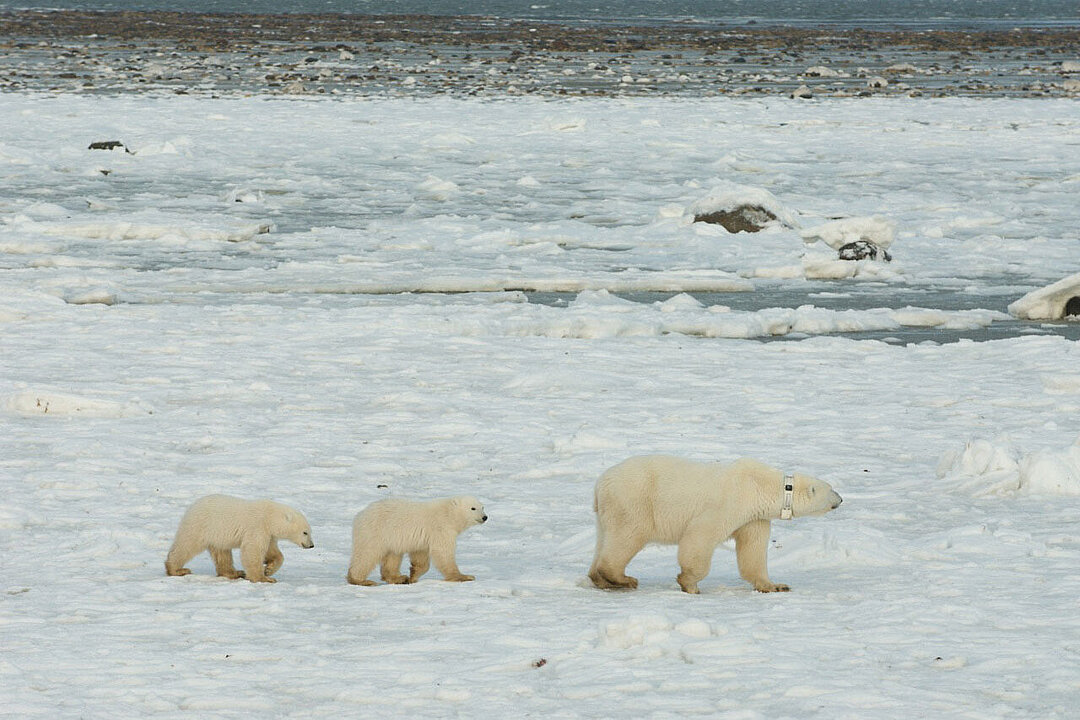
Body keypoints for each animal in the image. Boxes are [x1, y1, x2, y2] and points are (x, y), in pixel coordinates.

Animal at [164, 496, 315, 587]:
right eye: (305, 532)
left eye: (309, 531)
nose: (311, 545)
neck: (270, 517)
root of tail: (192, 506)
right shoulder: (257, 527)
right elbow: (252, 551)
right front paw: (264, 578)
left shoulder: (269, 534)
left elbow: (272, 552)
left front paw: (269, 569)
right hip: (201, 526)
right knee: (186, 545)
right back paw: (177, 569)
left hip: (218, 536)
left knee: (222, 554)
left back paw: (235, 573)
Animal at [347, 498, 488, 587]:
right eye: (473, 508)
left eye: (482, 507)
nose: (485, 517)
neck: (448, 514)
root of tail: (360, 515)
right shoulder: (440, 528)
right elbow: (443, 552)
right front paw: (464, 577)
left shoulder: (423, 539)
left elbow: (421, 556)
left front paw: (413, 575)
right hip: (375, 532)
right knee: (366, 555)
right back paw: (361, 580)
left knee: (392, 556)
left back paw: (399, 578)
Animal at [591, 459, 842, 595]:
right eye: (831, 488)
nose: (841, 499)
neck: (761, 485)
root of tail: (601, 483)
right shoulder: (731, 502)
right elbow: (700, 536)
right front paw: (689, 583)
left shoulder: (753, 517)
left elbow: (753, 551)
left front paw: (775, 585)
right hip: (634, 502)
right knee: (628, 537)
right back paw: (622, 578)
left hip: (608, 512)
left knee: (605, 539)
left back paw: (600, 578)